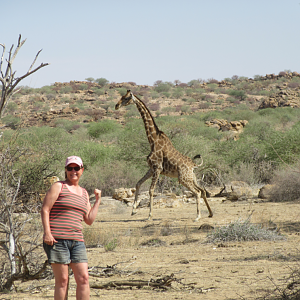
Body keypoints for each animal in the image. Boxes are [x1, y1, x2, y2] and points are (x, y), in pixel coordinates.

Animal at [115, 90, 213, 221]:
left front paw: (149, 215)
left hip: (183, 178)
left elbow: (151, 190)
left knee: (197, 192)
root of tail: (194, 165)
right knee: (202, 190)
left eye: (126, 98)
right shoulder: (152, 168)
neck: (153, 140)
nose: (116, 105)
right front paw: (133, 210)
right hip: (191, 177)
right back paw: (210, 213)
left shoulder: (157, 168)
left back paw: (197, 216)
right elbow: (138, 183)